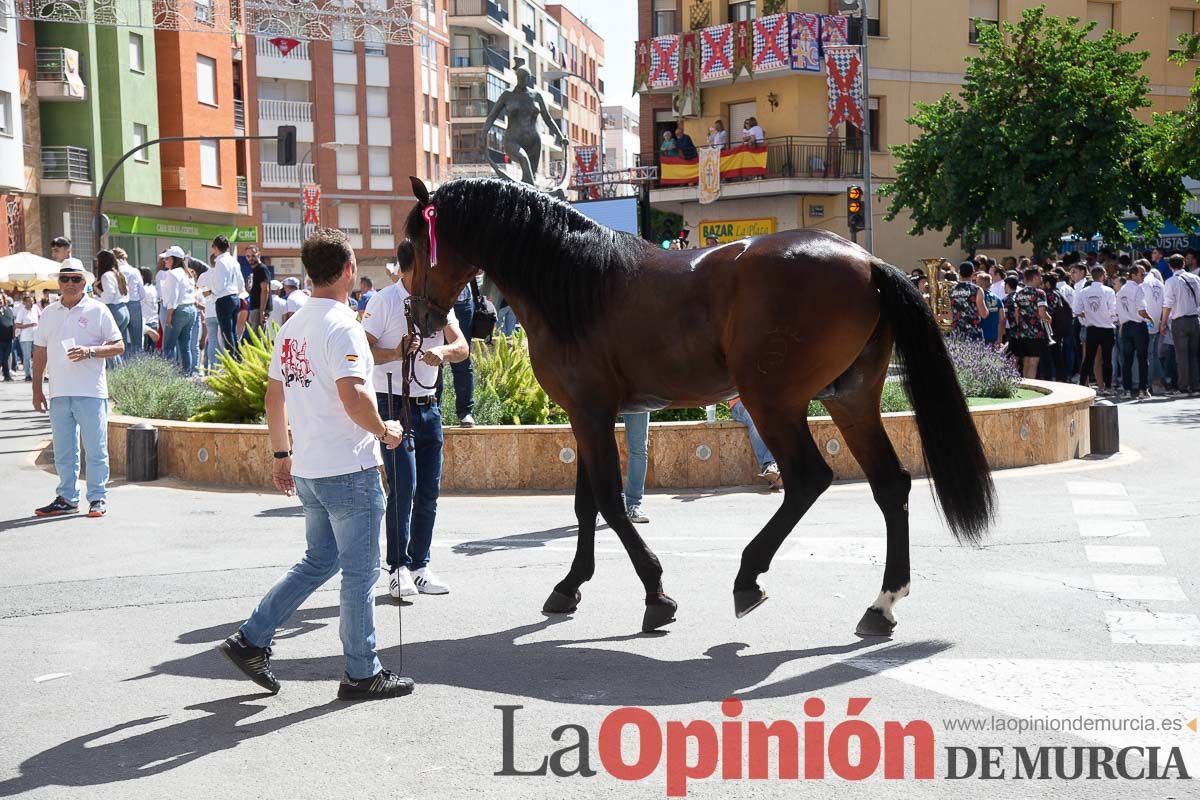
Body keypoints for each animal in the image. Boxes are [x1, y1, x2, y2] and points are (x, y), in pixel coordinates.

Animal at [398, 176, 988, 638]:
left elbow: (609, 502)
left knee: (807, 478)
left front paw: (656, 594)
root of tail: (866, 260)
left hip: (773, 402)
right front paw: (570, 586)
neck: (576, 283)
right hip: (852, 399)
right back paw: (882, 603)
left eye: (408, 250)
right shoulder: (588, 414)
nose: (420, 318)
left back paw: (749, 577)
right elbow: (586, 505)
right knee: (890, 485)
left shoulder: (589, 413)